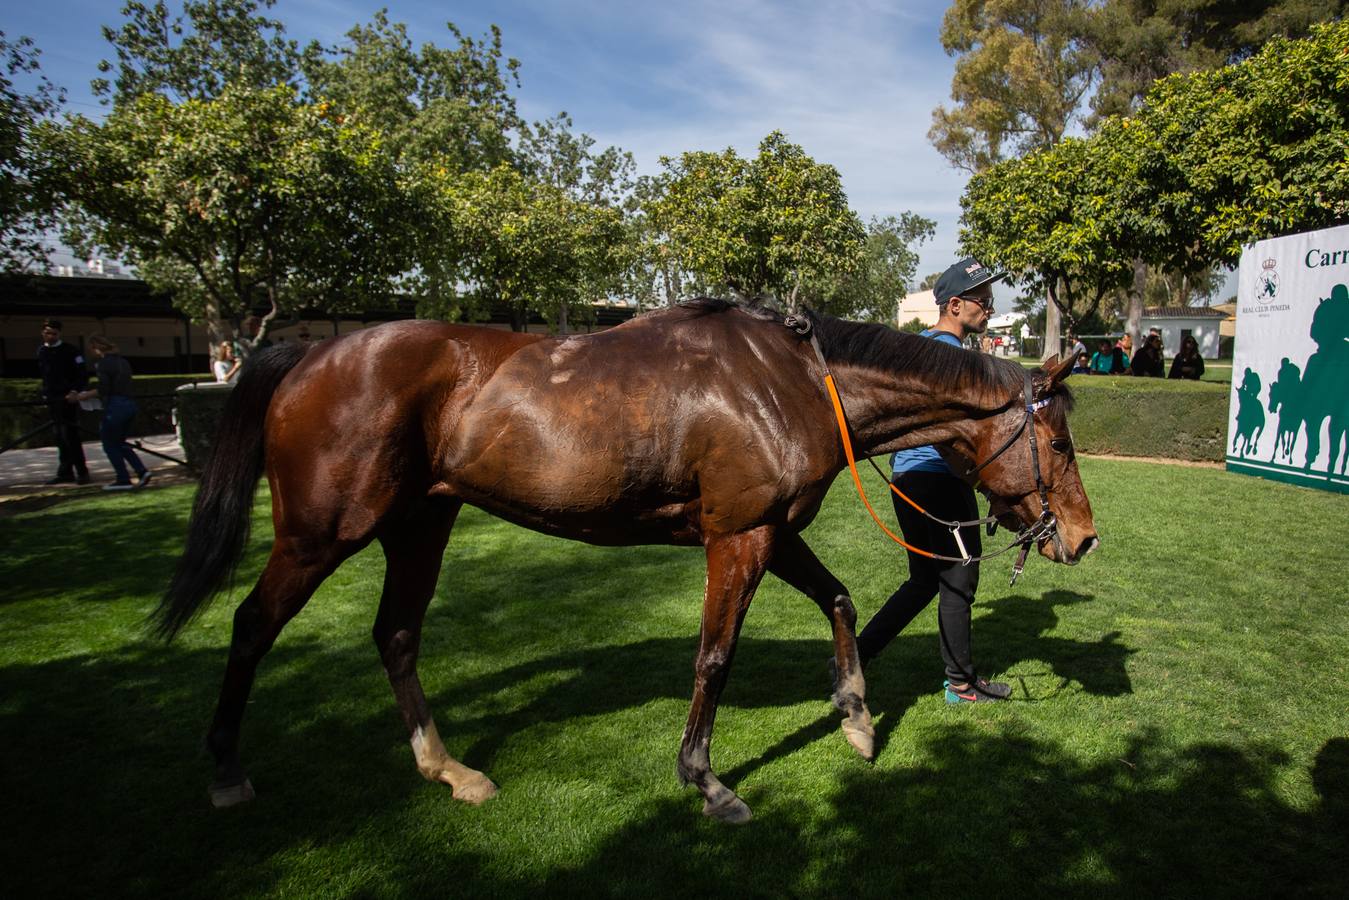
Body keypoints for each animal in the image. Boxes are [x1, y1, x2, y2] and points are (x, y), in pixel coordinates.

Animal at [157, 300, 1100, 825]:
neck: (794, 381)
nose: (1084, 536)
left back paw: (448, 769)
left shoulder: (769, 528)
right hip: (321, 532)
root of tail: (309, 353)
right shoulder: (738, 538)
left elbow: (836, 598)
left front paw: (856, 718)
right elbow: (714, 658)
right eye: (1056, 439)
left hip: (419, 524)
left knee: (394, 635)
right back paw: (226, 769)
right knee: (252, 624)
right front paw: (705, 781)